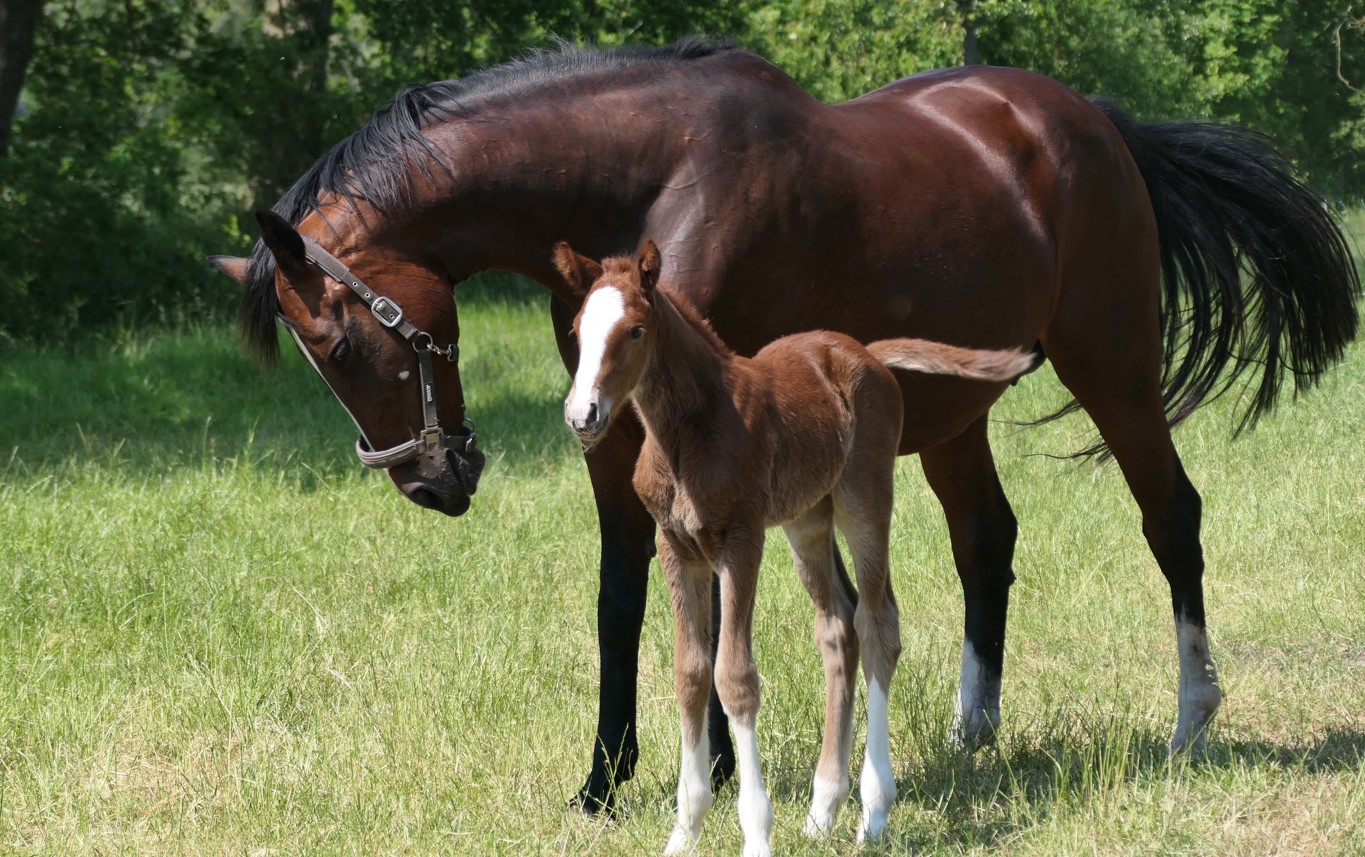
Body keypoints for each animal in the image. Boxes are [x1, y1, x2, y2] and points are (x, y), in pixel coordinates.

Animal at [554, 242, 1031, 857]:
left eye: (634, 330)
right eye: (577, 329)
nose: (582, 415)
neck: (687, 433)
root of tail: (866, 353)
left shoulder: (740, 540)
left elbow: (734, 678)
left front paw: (756, 831)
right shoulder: (677, 546)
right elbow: (691, 674)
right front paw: (685, 830)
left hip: (863, 502)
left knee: (878, 626)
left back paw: (874, 812)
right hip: (807, 522)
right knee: (838, 628)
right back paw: (824, 807)